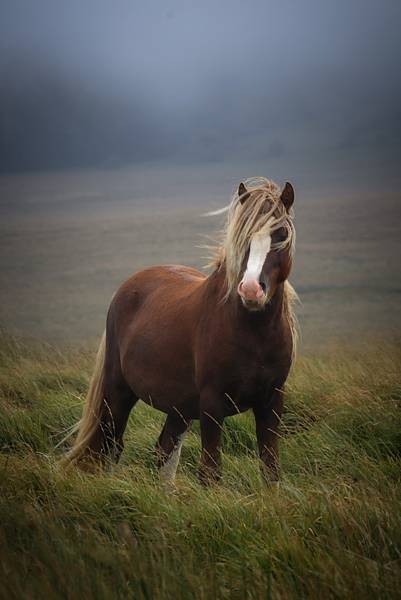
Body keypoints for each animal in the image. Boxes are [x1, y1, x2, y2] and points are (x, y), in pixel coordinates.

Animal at [65, 178, 296, 488]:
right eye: (242, 237)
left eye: (281, 234)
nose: (250, 290)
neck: (253, 336)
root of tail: (128, 286)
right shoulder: (212, 403)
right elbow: (210, 472)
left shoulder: (271, 401)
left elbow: (270, 470)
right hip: (118, 392)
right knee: (111, 445)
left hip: (180, 406)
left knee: (164, 450)